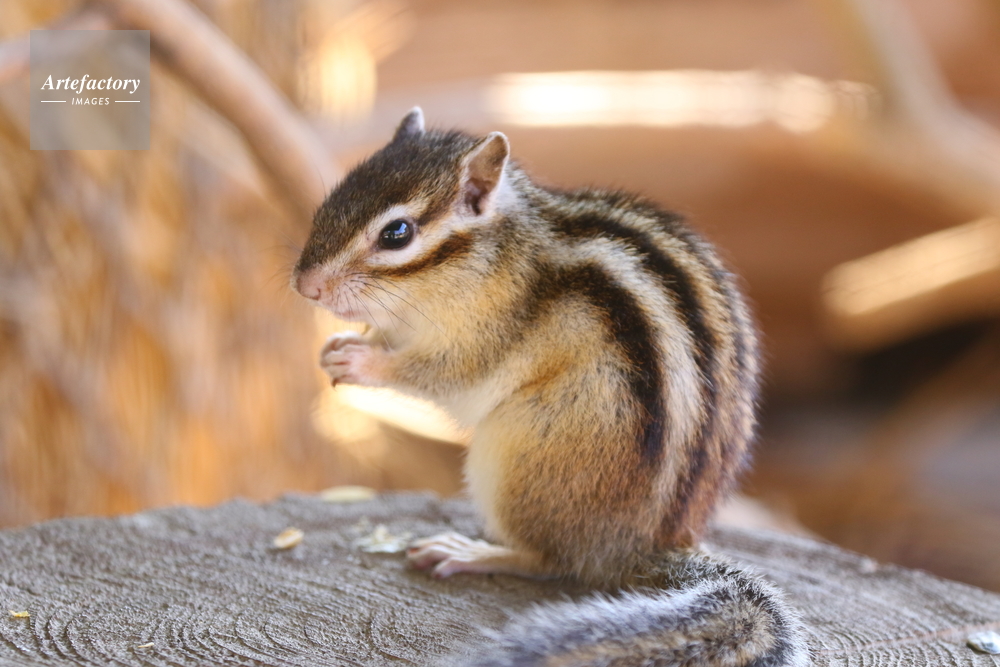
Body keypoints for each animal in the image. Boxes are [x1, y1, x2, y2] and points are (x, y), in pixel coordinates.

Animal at [293, 108, 808, 667]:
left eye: (397, 233)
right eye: (335, 196)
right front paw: (338, 345)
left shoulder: (488, 338)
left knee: (550, 560)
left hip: (515, 454)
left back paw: (474, 552)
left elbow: (444, 376)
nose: (305, 286)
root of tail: (641, 547)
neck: (493, 255)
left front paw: (361, 360)